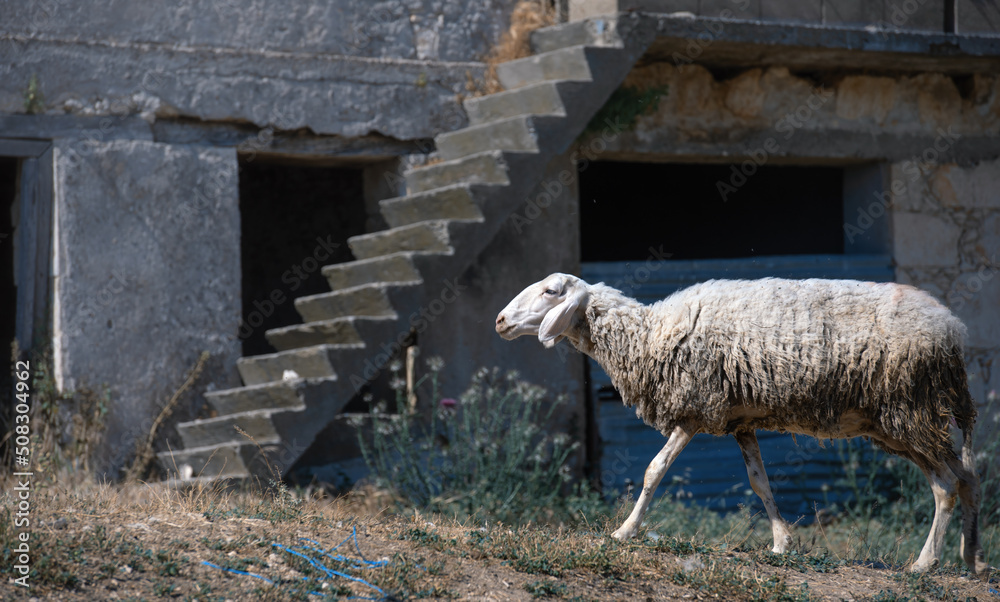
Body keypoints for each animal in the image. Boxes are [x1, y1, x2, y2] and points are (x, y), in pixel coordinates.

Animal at [496, 272, 988, 572]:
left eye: (551, 291)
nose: (500, 320)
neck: (649, 335)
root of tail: (953, 331)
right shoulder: (740, 421)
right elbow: (759, 482)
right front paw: (781, 542)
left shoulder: (694, 409)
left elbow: (654, 471)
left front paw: (623, 531)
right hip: (902, 423)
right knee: (968, 477)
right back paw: (974, 558)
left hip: (909, 409)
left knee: (946, 484)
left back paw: (924, 563)